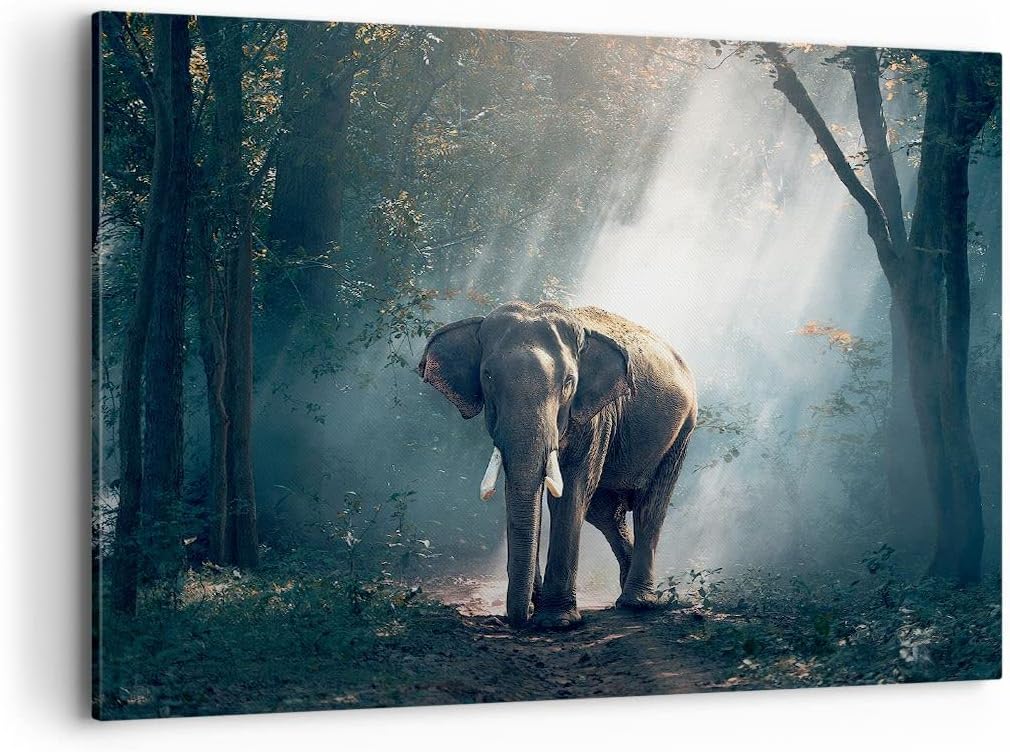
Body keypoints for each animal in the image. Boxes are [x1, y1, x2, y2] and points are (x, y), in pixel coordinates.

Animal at [418, 301, 697, 629]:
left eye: (568, 382)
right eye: (487, 376)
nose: (518, 619)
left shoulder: (594, 416)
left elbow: (572, 492)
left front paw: (556, 621)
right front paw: (538, 609)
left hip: (682, 431)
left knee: (649, 506)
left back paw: (638, 603)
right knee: (605, 513)